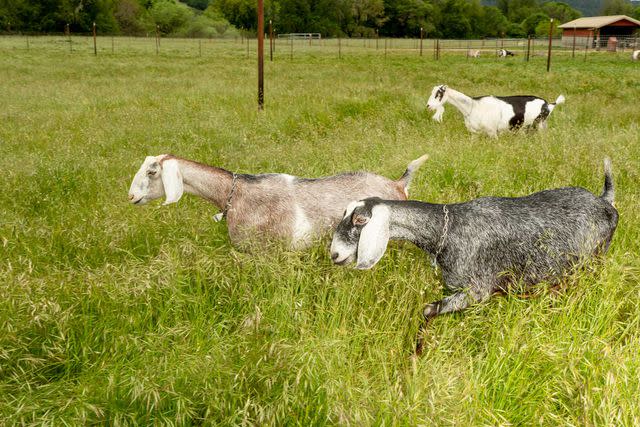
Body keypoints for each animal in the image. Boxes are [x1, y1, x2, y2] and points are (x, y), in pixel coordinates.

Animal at [330, 160, 616, 354]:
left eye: (360, 219)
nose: (335, 254)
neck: (448, 229)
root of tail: (606, 202)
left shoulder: (476, 290)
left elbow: (428, 309)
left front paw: (416, 354)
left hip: (592, 263)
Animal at [428, 83, 564, 137]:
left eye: (438, 94)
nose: (428, 106)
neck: (473, 106)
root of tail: (548, 104)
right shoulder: (474, 133)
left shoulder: (492, 132)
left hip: (539, 125)